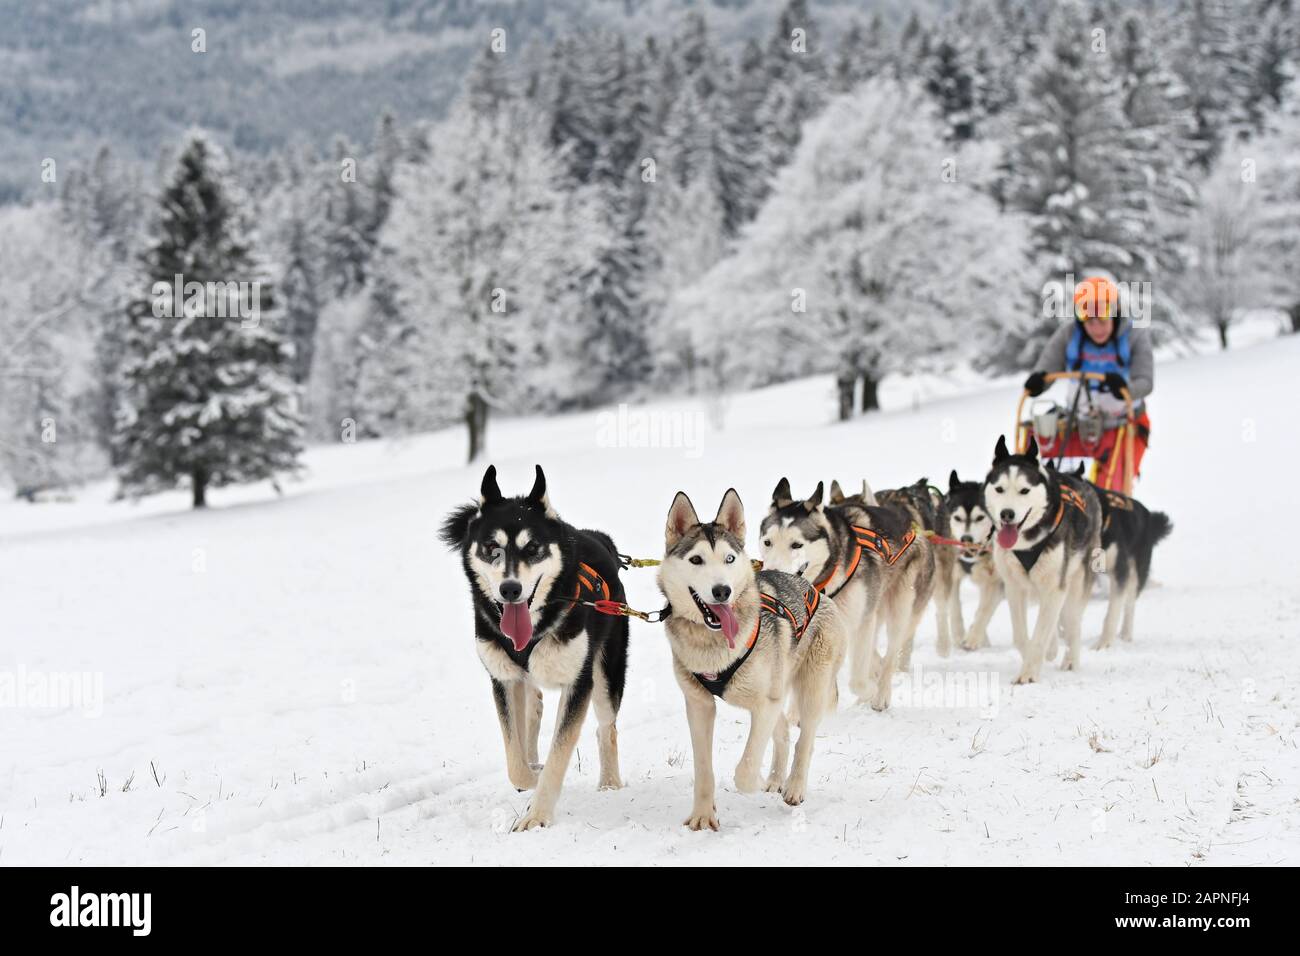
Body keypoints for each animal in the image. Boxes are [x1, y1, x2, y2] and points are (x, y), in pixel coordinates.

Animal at [441, 465, 629, 832]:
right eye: (491, 547)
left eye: (532, 548)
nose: (510, 589)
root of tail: (600, 538)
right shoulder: (503, 679)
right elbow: (514, 757)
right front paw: (529, 776)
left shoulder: (578, 683)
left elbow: (559, 754)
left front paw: (538, 814)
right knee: (533, 708)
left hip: (604, 676)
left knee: (606, 728)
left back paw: (610, 783)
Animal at [655, 489, 847, 832]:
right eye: (696, 560)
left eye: (730, 559)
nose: (722, 590)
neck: (715, 647)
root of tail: (815, 590)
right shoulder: (699, 705)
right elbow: (703, 769)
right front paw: (703, 815)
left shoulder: (764, 703)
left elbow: (745, 770)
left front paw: (753, 780)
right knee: (782, 732)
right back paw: (775, 778)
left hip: (811, 687)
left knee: (805, 739)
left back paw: (793, 786)